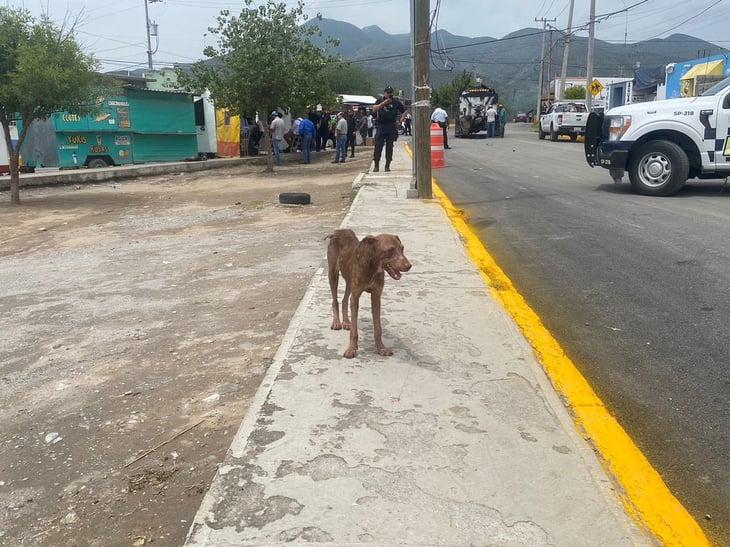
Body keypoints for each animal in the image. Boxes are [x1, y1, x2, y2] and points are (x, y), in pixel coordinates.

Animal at [328, 228, 410, 360]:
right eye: (390, 250)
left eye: (402, 248)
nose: (409, 266)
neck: (372, 266)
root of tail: (340, 230)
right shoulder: (356, 297)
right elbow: (354, 331)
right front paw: (351, 349)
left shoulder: (376, 296)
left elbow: (378, 328)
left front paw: (381, 348)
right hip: (333, 273)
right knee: (334, 300)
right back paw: (336, 322)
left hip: (349, 281)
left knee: (345, 300)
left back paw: (346, 322)